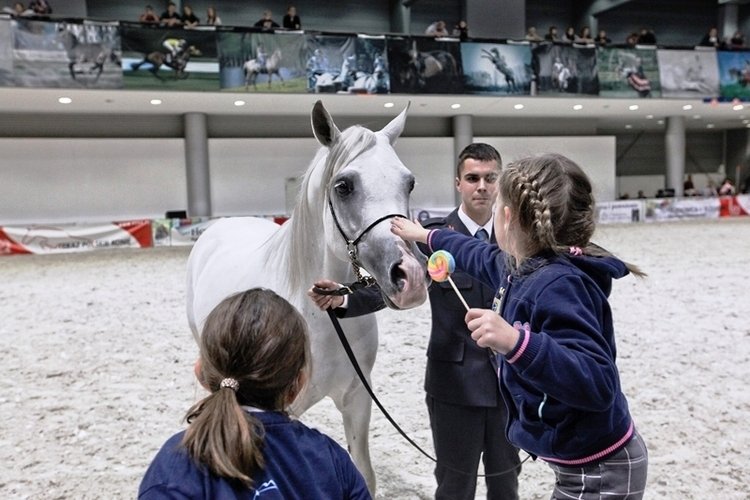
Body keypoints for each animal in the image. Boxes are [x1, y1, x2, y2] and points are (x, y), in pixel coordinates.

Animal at [187, 99, 428, 494]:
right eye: (343, 186)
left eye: (409, 183)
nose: (410, 276)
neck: (321, 320)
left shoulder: (357, 399)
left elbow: (363, 472)